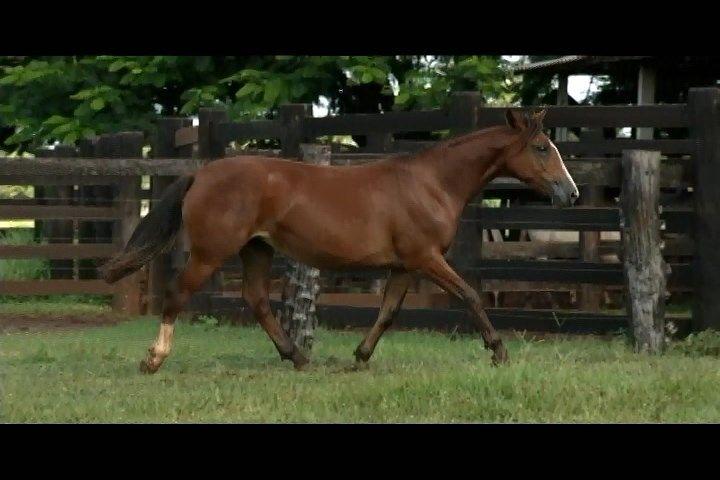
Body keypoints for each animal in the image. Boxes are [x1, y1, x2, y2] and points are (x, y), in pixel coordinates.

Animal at [100, 109, 580, 376]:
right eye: (541, 147)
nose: (571, 193)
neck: (431, 183)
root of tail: (201, 173)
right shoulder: (425, 258)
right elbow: (470, 295)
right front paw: (499, 353)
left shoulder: (404, 266)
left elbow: (388, 313)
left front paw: (360, 356)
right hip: (210, 252)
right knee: (178, 294)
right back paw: (154, 359)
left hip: (257, 249)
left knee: (257, 300)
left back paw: (298, 358)